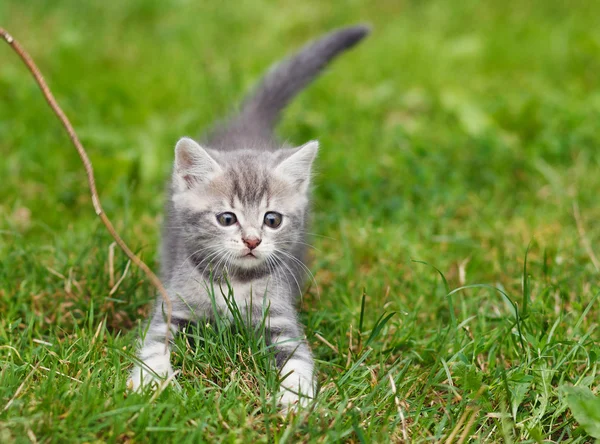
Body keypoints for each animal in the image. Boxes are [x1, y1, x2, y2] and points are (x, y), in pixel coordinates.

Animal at [129, 26, 368, 412]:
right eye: (227, 218)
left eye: (272, 220)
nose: (252, 240)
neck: (235, 283)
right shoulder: (173, 307)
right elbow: (154, 346)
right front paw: (153, 384)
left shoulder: (281, 321)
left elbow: (299, 360)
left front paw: (294, 399)